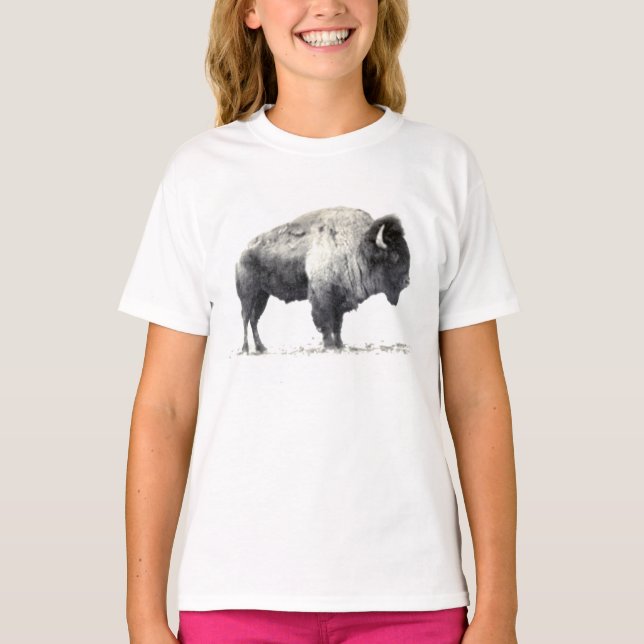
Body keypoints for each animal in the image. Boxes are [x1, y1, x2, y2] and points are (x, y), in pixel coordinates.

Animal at [234, 206, 410, 353]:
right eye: (394, 256)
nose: (407, 281)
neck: (358, 247)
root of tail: (242, 254)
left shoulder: (340, 300)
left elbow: (338, 325)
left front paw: (340, 345)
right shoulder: (322, 297)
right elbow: (325, 322)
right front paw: (330, 346)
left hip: (262, 296)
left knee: (254, 320)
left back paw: (261, 348)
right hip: (248, 296)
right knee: (245, 318)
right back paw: (246, 349)